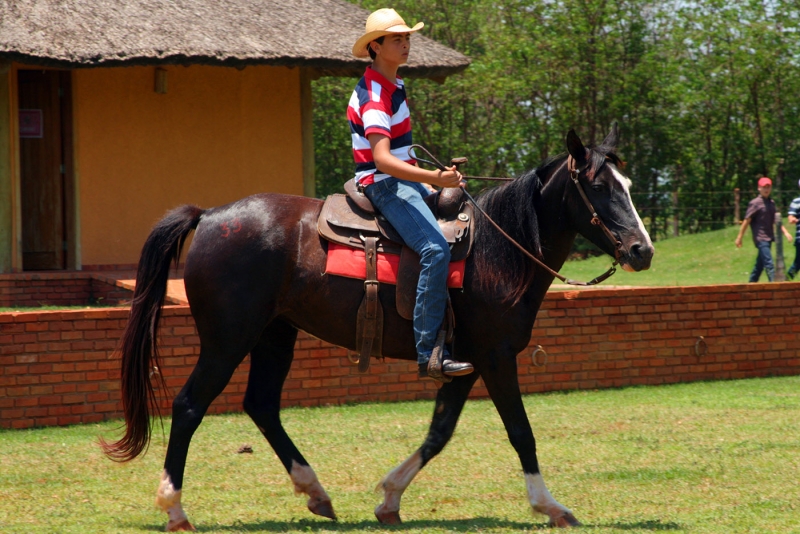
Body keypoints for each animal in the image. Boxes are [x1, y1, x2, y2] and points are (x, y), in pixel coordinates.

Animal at [102, 124, 654, 531]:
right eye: (599, 187)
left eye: (626, 186)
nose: (642, 250)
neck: (497, 252)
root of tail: (211, 216)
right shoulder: (497, 357)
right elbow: (521, 432)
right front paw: (551, 506)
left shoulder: (464, 360)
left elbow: (439, 432)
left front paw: (389, 499)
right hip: (227, 339)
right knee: (189, 406)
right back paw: (175, 509)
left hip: (275, 335)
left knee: (261, 405)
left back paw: (316, 494)